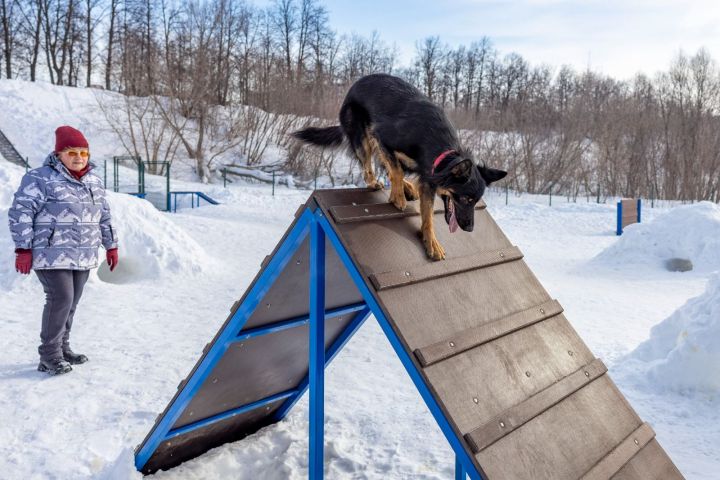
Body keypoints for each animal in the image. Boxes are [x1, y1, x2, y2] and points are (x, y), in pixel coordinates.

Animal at [292, 73, 506, 260]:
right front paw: (397, 198)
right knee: (370, 167)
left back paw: (407, 187)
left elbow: (427, 215)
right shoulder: (382, 138)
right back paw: (375, 183)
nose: (469, 229)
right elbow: (397, 170)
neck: (441, 150)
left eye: (476, 201)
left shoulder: (427, 180)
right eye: (465, 198)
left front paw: (431, 242)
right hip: (363, 137)